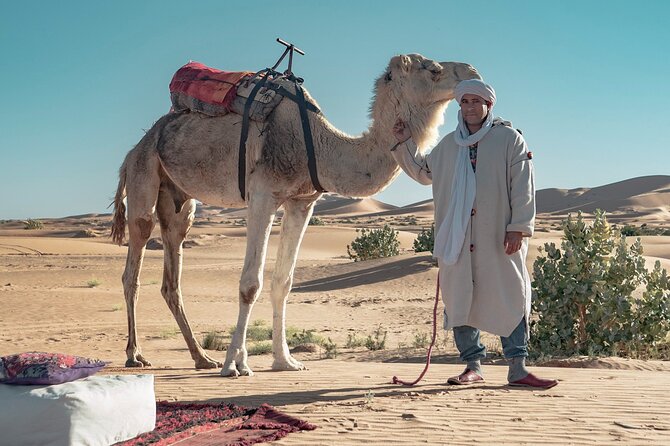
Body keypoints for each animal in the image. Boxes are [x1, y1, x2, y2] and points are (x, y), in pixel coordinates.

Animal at [110, 53, 480, 376]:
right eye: (432, 69)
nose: (472, 71)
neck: (318, 145)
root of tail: (136, 147)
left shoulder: (302, 202)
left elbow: (283, 282)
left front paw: (284, 360)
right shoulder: (262, 195)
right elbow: (250, 283)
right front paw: (236, 364)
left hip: (179, 200)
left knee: (172, 269)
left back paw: (202, 358)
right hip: (144, 173)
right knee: (134, 261)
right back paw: (135, 355)